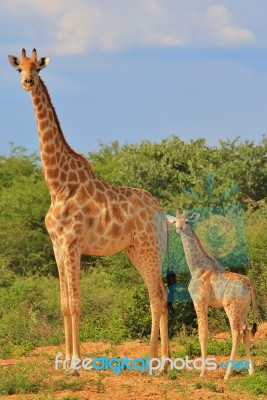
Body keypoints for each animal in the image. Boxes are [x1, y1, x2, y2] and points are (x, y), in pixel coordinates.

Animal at [9, 49, 171, 372]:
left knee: (158, 296)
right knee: (157, 295)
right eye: (19, 68)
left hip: (149, 246)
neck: (57, 185)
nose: (28, 82)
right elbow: (63, 304)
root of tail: (162, 214)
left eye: (38, 68)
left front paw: (75, 362)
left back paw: (154, 362)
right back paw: (166, 362)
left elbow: (75, 303)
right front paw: (66, 360)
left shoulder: (72, 243)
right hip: (137, 249)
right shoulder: (57, 245)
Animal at [168, 211, 258, 380]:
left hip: (231, 308)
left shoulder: (199, 301)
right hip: (243, 309)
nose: (178, 228)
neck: (196, 267)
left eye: (187, 221)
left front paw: (202, 373)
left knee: (236, 333)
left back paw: (227, 374)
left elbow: (203, 333)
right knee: (246, 331)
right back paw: (251, 371)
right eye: (175, 221)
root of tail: (249, 285)